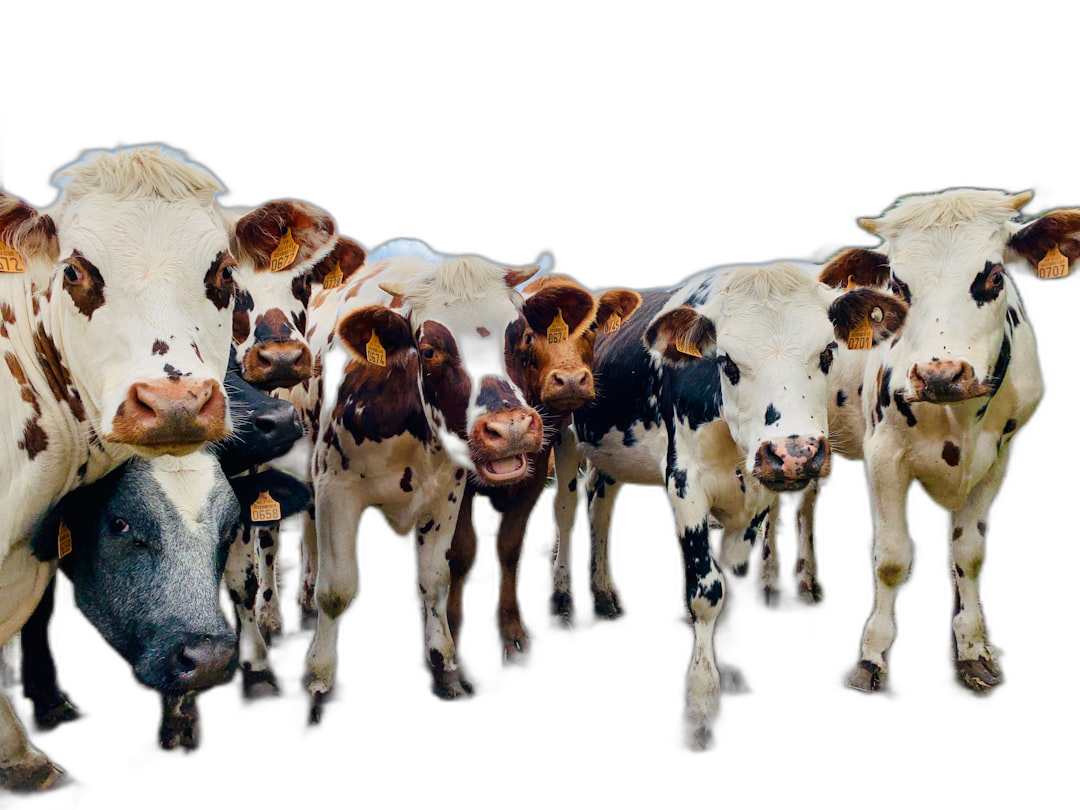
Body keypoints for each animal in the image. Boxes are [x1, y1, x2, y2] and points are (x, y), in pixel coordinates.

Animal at [570, 263, 907, 751]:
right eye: (727, 362)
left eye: (827, 353)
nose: (795, 453)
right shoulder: (685, 481)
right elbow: (707, 590)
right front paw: (702, 701)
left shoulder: (758, 496)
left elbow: (734, 572)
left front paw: (728, 670)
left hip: (610, 455)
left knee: (601, 499)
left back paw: (603, 593)